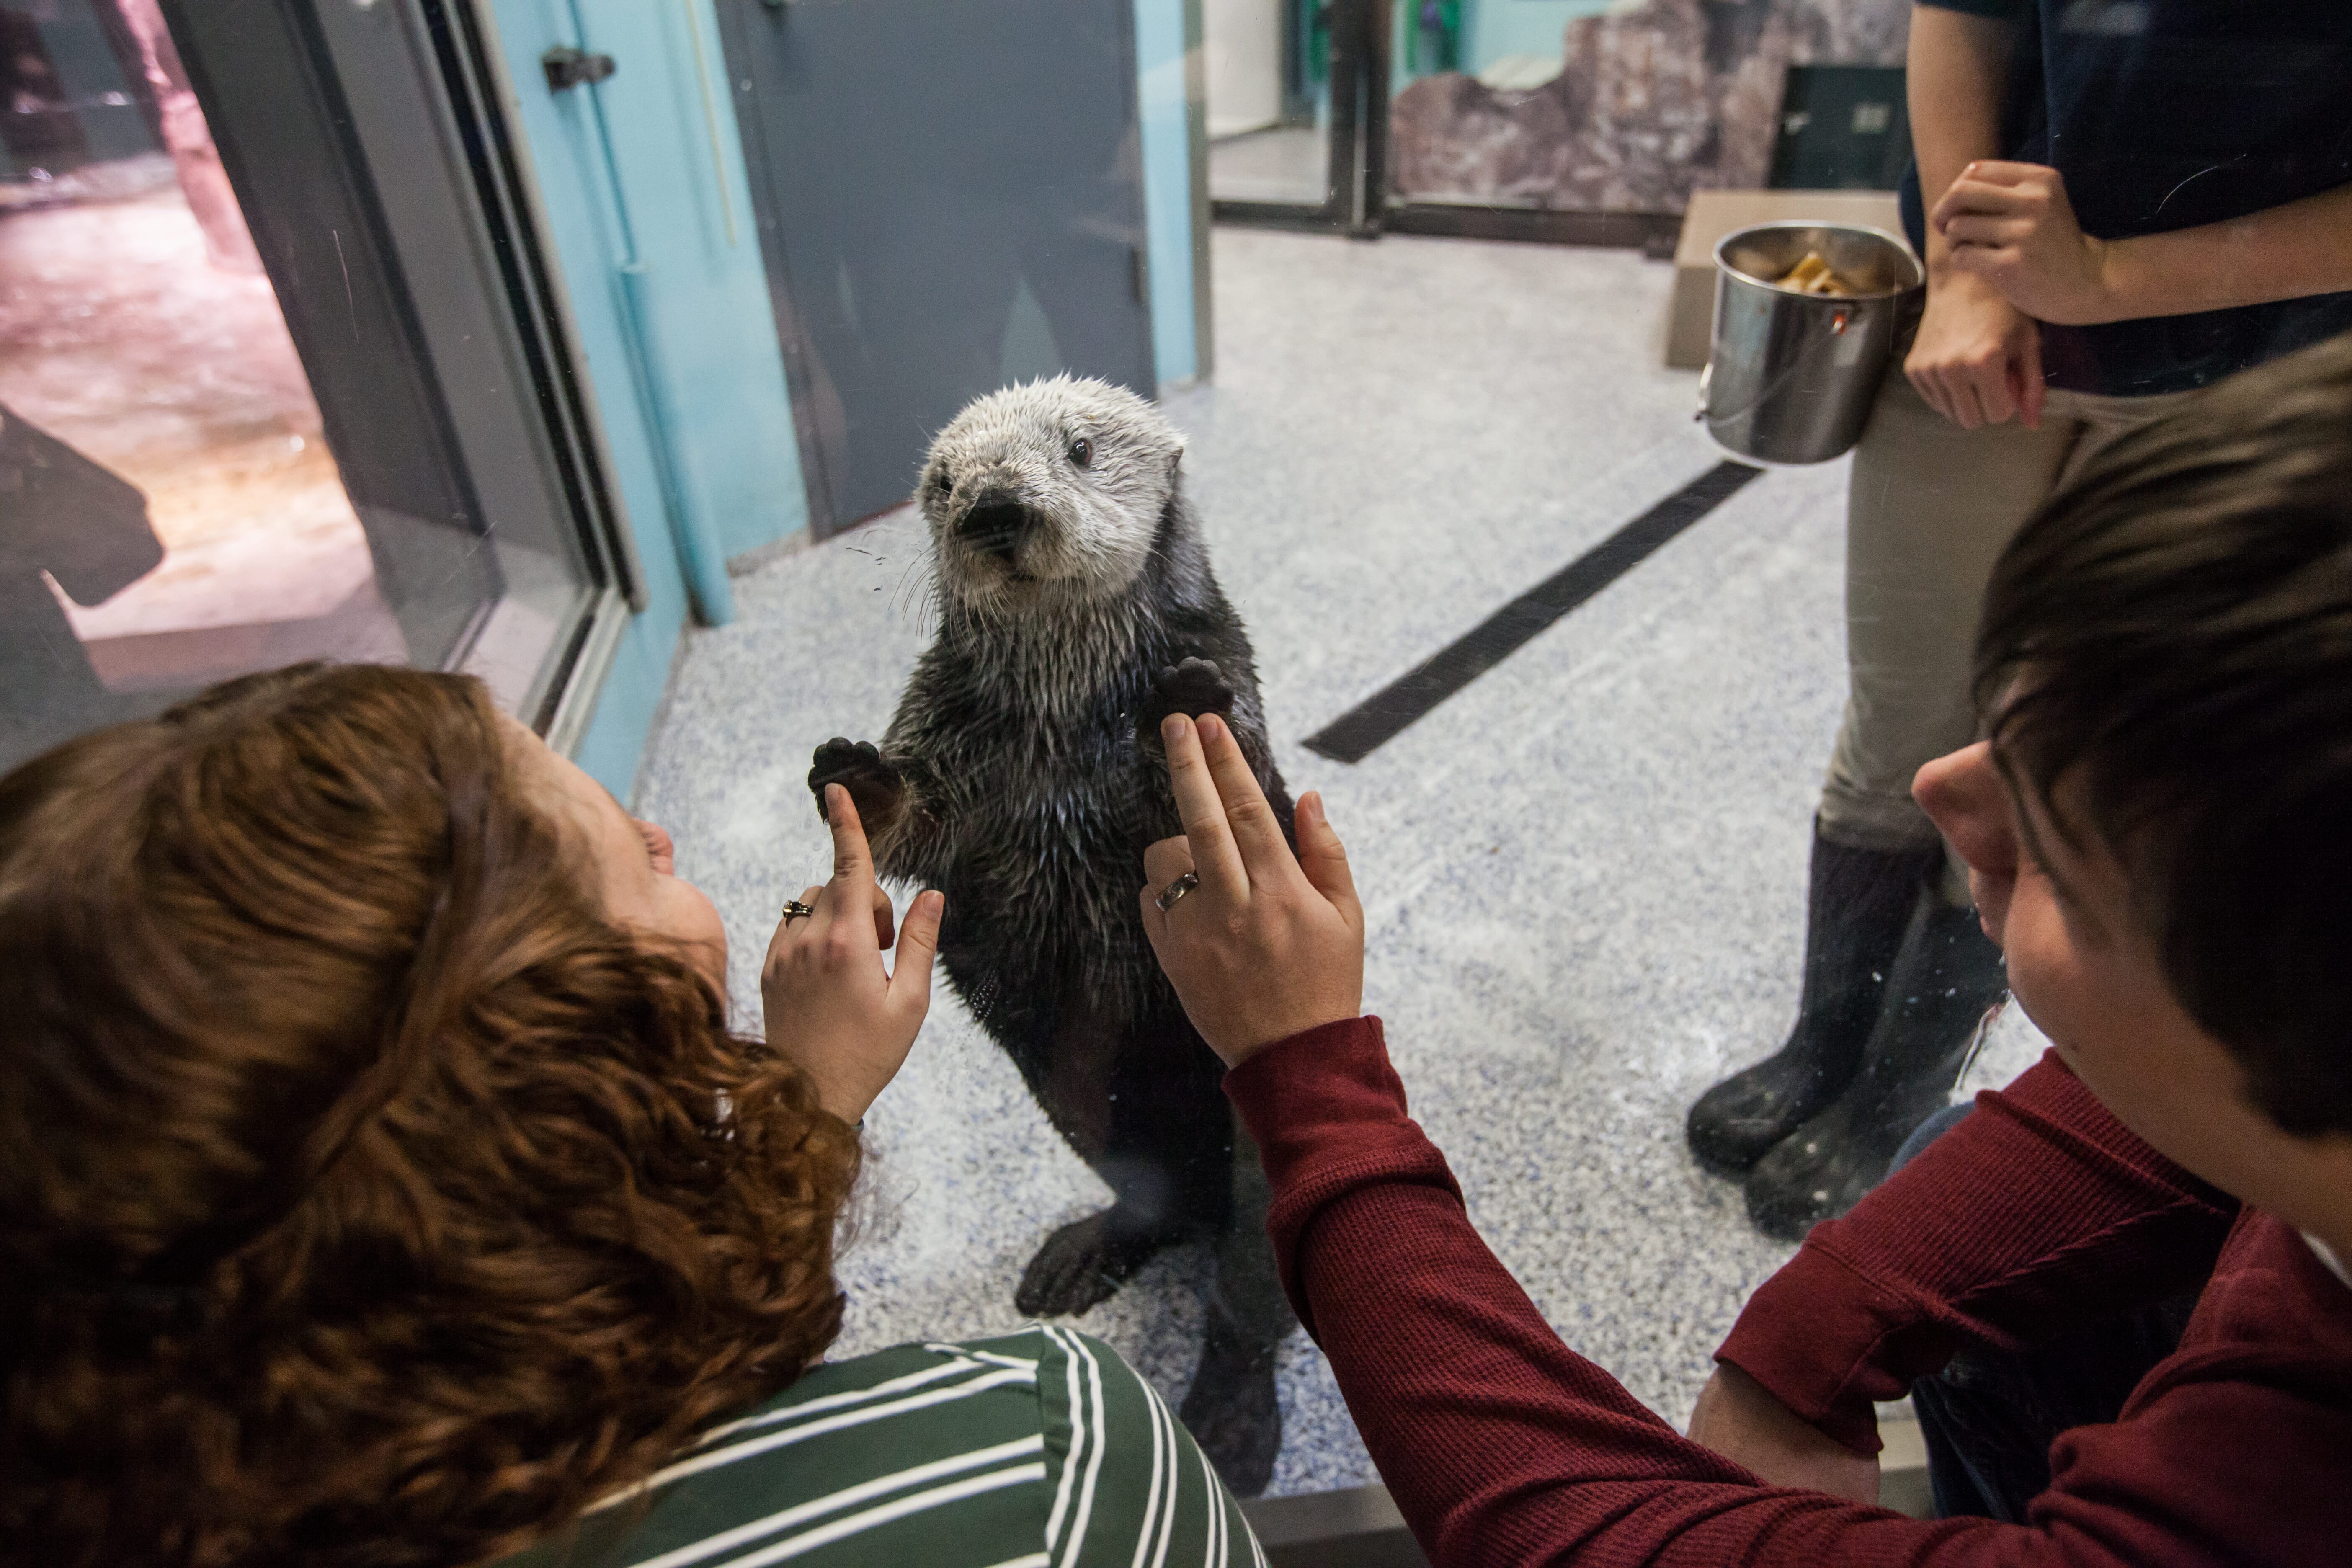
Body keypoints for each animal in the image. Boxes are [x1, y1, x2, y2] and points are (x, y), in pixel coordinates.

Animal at [806, 375, 1293, 1494]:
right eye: (945, 483)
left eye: (1078, 450)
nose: (992, 507)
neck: (1064, 715)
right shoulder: (943, 723)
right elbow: (917, 820)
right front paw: (855, 775)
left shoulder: (1231, 677)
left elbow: (1218, 772)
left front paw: (1183, 707)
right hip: (1084, 1104)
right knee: (1153, 1198)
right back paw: (1081, 1254)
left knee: (1250, 1301)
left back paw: (1232, 1418)